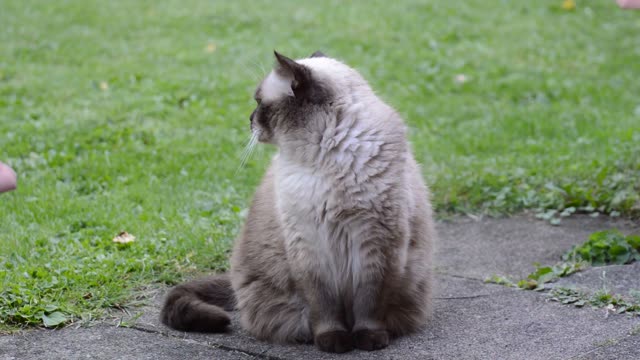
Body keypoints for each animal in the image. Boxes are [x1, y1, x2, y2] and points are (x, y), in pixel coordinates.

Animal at [162, 51, 438, 354]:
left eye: (259, 103)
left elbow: (370, 302)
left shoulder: (376, 243)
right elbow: (324, 306)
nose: (249, 119)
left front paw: (369, 340)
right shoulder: (309, 246)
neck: (325, 157)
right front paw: (333, 342)